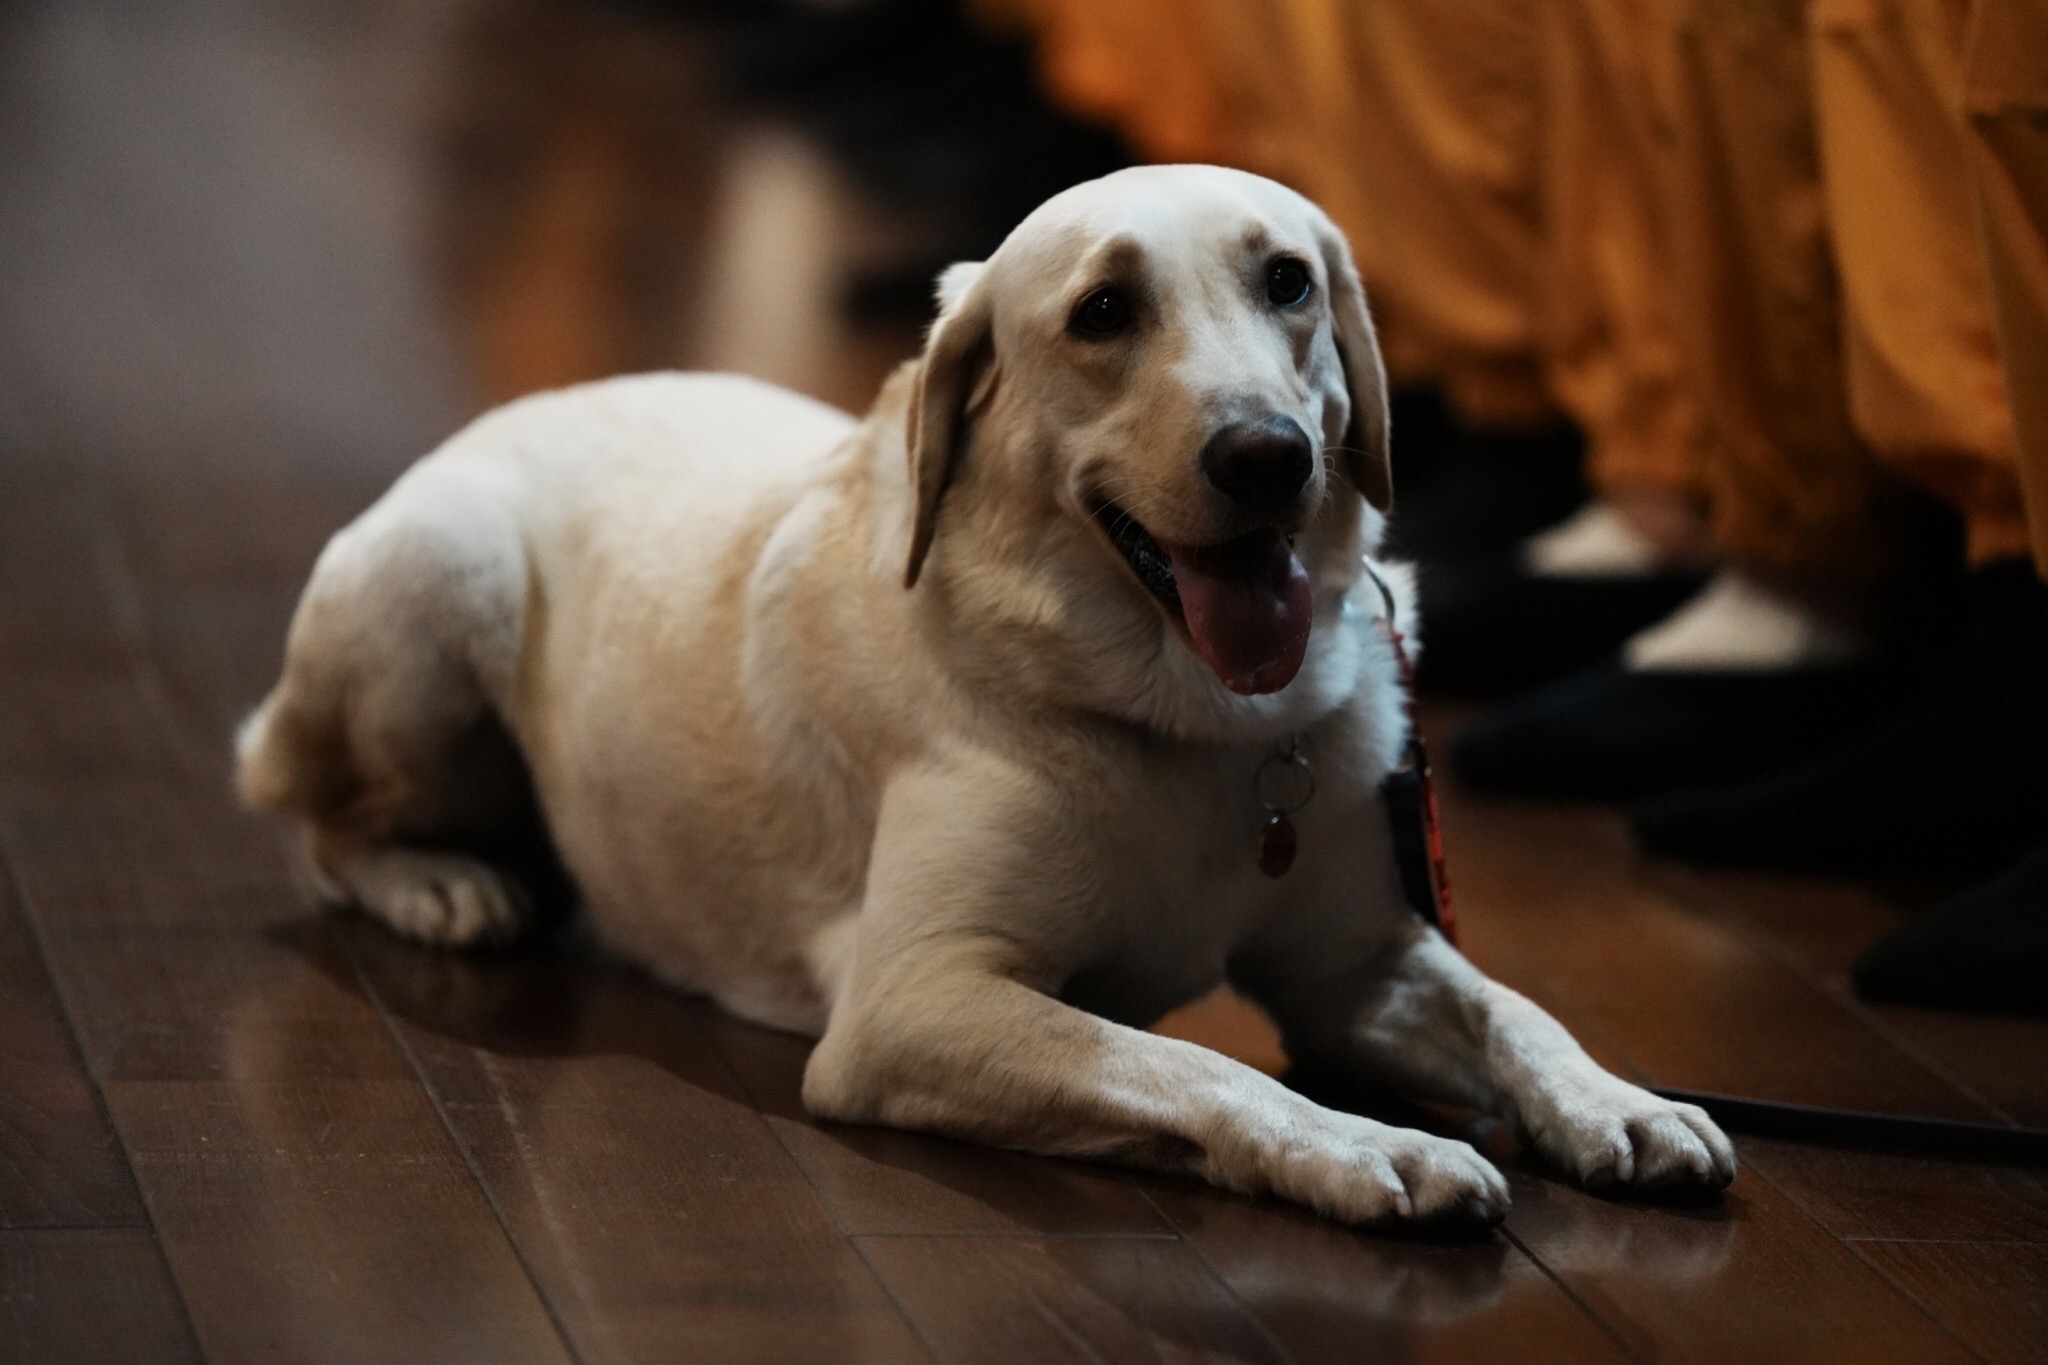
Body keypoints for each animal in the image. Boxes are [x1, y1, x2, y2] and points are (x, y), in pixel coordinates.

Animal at [247, 167, 1736, 1227]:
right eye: (1102, 313)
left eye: (1289, 282)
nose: (1268, 453)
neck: (1199, 725)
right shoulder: (915, 1000)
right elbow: (1196, 1065)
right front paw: (1370, 1148)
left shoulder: (1356, 960)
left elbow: (1508, 1006)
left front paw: (1612, 1100)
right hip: (442, 583)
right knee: (307, 813)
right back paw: (444, 884)